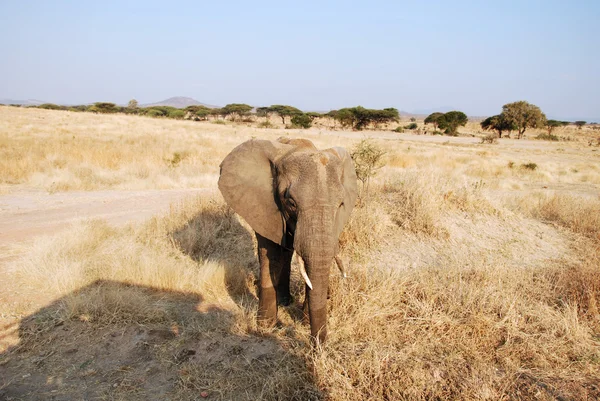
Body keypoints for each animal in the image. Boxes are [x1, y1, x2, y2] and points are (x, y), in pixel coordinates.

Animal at [219, 138, 356, 344]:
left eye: (340, 205)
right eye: (290, 202)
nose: (317, 345)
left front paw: (305, 321)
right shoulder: (264, 205)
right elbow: (272, 255)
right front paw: (266, 328)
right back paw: (283, 302)